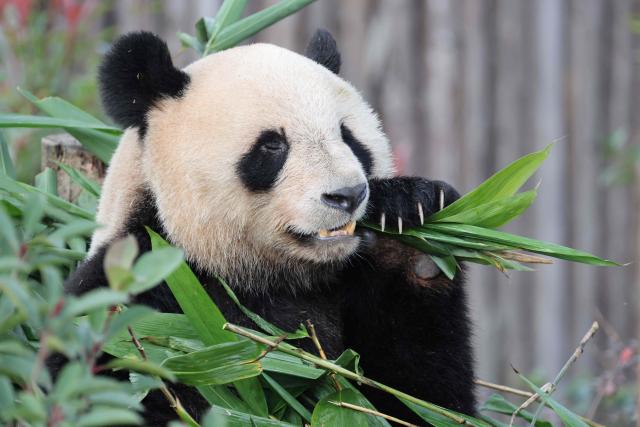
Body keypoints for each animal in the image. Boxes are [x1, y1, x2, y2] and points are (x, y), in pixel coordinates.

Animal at [66, 30, 475, 425]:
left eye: (348, 136)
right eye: (272, 145)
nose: (347, 195)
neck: (270, 275)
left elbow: (422, 398)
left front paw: (410, 226)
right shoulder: (136, 293)